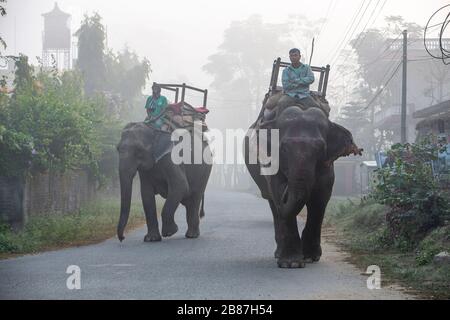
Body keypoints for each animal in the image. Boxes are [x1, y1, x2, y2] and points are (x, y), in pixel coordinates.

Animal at [244, 105, 360, 268]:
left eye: (320, 148)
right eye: (283, 149)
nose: (287, 190)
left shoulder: (327, 164)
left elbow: (320, 198)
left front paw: (310, 257)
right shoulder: (271, 161)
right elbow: (278, 191)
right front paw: (291, 263)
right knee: (273, 203)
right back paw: (279, 252)